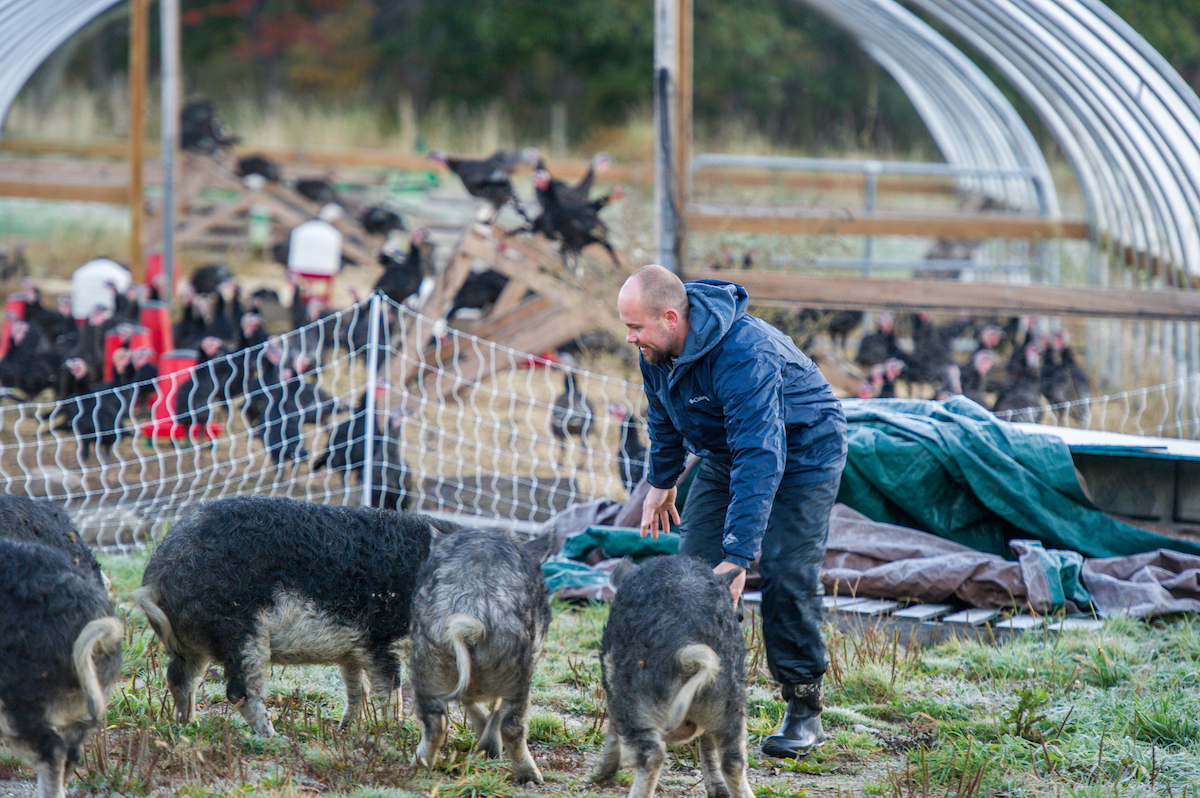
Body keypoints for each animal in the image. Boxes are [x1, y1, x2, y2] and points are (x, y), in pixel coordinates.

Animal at [405, 525, 549, 782]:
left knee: (435, 719)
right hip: (516, 668)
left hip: (428, 660)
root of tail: (472, 612)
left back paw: (419, 765)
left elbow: (470, 700)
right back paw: (532, 777)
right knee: (511, 724)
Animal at [590, 554, 748, 796]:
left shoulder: (611, 679)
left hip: (636, 700)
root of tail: (686, 650)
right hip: (729, 701)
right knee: (733, 760)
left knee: (651, 756)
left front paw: (600, 778)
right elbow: (707, 746)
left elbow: (612, 726)